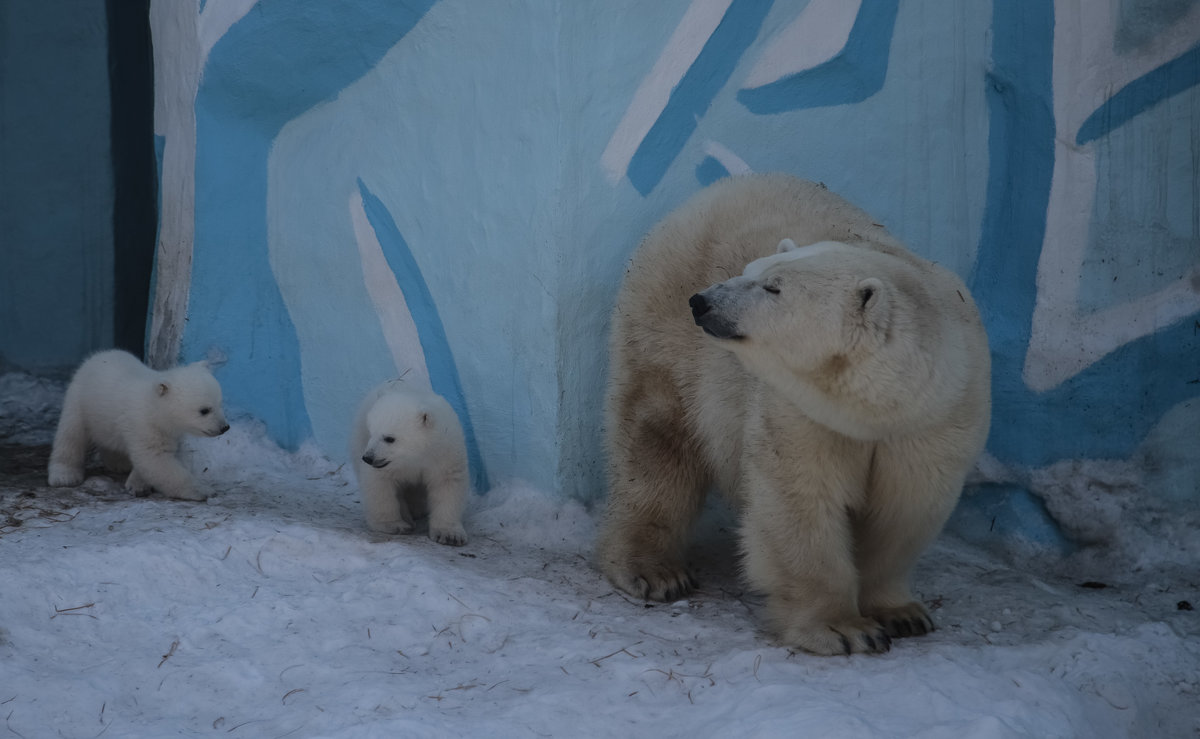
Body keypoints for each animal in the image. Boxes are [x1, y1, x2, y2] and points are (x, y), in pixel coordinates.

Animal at [47, 347, 229, 499]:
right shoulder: (144, 423)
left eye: (220, 403)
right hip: (79, 400)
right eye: (204, 410)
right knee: (71, 434)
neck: (154, 406)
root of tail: (95, 357)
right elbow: (156, 459)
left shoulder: (164, 430)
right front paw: (204, 490)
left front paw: (137, 484)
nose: (224, 427)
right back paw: (64, 475)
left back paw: (119, 464)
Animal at [348, 383, 468, 544]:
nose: (368, 458)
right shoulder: (386, 464)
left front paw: (450, 535)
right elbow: (379, 484)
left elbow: (447, 484)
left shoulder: (444, 453)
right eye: (371, 432)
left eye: (389, 438)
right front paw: (395, 525)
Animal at [592, 176, 993, 657]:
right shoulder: (799, 410)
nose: (702, 301)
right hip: (662, 326)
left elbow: (902, 514)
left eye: (774, 287)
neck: (880, 407)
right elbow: (801, 500)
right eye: (750, 269)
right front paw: (843, 629)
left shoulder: (935, 424)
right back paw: (653, 570)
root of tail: (712, 193)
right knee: (656, 439)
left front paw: (902, 613)